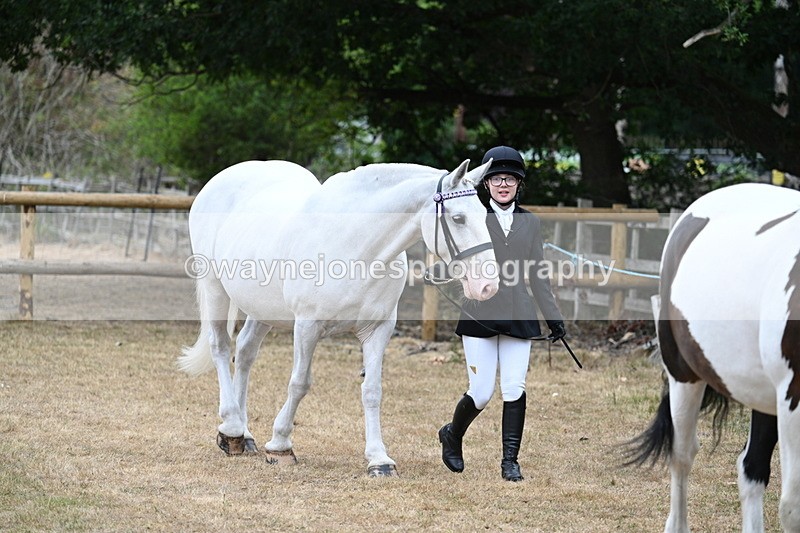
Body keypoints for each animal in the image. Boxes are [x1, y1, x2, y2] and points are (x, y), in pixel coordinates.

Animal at [178, 159, 499, 477]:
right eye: (458, 219)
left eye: (485, 216)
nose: (487, 286)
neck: (358, 247)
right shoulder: (307, 326)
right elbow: (299, 383)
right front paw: (281, 445)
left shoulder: (378, 330)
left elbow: (372, 390)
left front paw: (379, 459)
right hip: (215, 287)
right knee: (221, 347)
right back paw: (231, 429)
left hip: (263, 307)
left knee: (244, 352)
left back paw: (244, 435)